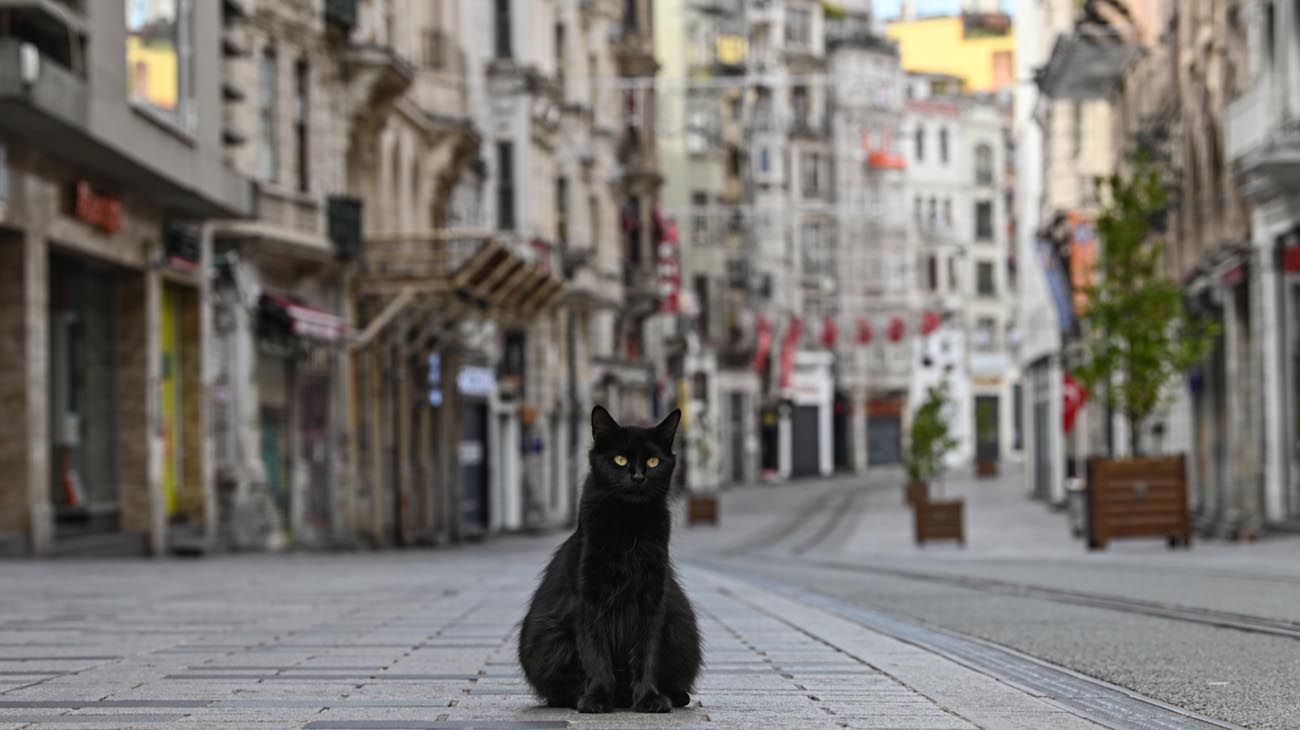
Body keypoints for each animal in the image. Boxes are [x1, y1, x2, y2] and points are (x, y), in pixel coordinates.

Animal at [517, 402, 702, 711]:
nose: (637, 477)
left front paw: (649, 697)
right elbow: (596, 656)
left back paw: (671, 696)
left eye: (654, 462)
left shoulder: (652, 599)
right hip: (547, 638)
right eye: (619, 459)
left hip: (680, 629)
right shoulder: (588, 601)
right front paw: (598, 698)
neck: (629, 527)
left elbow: (646, 654)